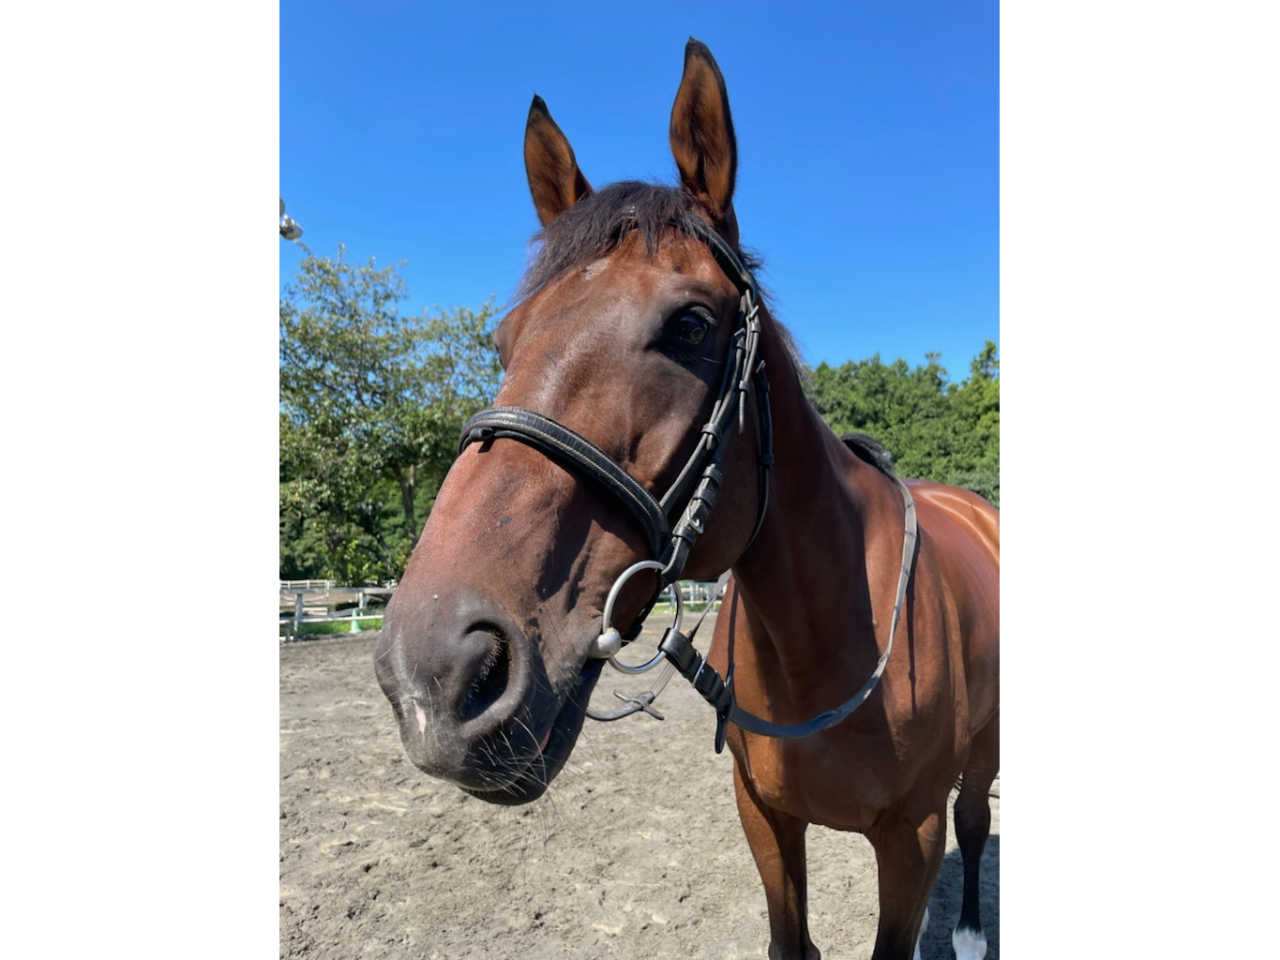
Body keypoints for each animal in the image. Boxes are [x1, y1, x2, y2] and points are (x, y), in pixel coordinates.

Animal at [374, 39, 999, 960]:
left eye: (693, 326)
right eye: (505, 340)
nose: (435, 675)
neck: (824, 644)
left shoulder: (911, 841)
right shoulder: (764, 819)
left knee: (976, 818)